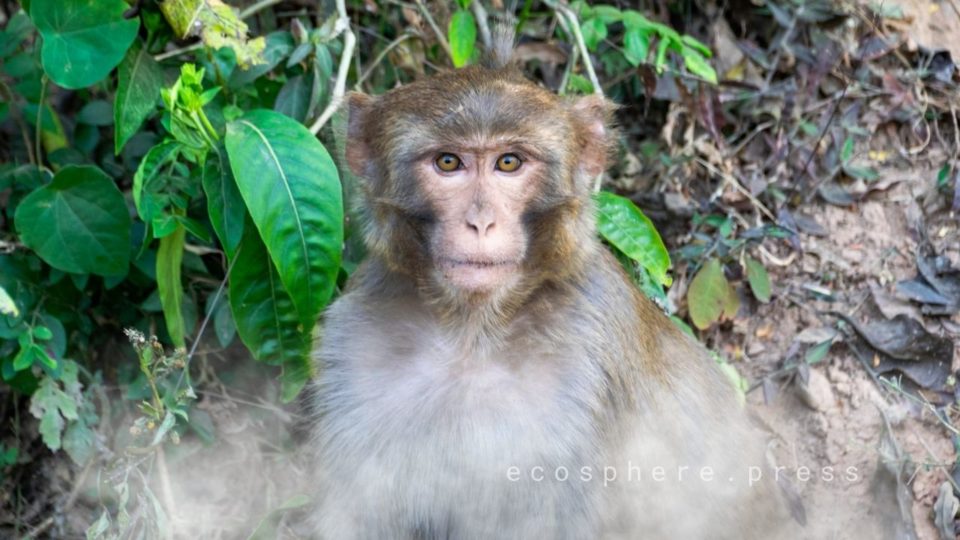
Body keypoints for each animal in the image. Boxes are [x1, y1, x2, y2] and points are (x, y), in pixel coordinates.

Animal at [306, 36, 798, 540]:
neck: (472, 332)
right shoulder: (355, 339)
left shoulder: (588, 354)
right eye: (448, 162)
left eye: (509, 162)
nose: (480, 222)